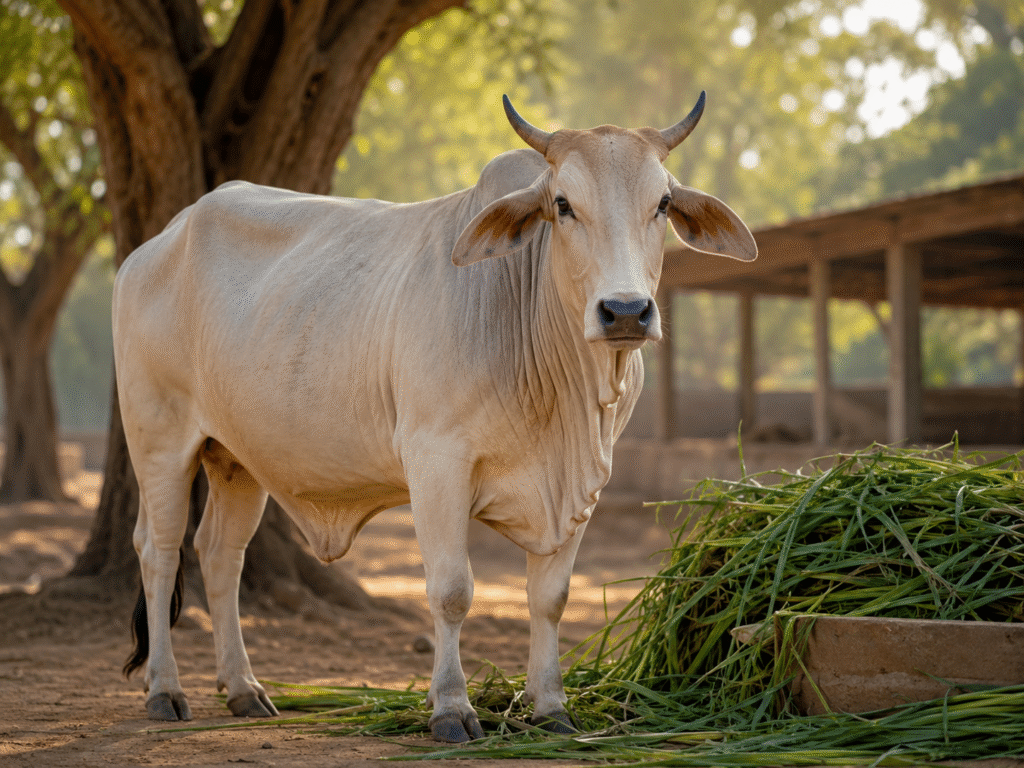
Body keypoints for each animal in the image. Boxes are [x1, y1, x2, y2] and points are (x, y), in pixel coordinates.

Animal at [114, 93, 756, 743]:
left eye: (663, 204)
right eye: (563, 205)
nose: (625, 311)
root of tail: (154, 245)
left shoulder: (582, 483)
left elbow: (550, 597)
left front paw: (551, 706)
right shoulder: (436, 462)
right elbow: (452, 591)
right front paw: (451, 708)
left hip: (237, 459)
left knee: (221, 554)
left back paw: (244, 689)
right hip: (160, 440)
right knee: (159, 552)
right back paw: (165, 690)